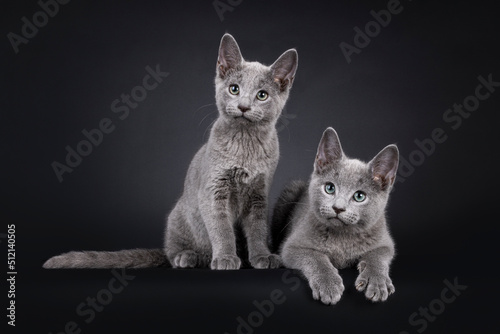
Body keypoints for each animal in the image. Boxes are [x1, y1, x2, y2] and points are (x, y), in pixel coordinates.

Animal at [44, 32, 296, 270]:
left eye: (262, 95)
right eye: (234, 89)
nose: (243, 106)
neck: (245, 146)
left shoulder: (259, 195)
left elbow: (257, 230)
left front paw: (263, 256)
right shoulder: (213, 191)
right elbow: (222, 229)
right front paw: (225, 257)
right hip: (178, 215)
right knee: (174, 251)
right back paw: (191, 257)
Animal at [272, 126, 400, 304]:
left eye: (359, 196)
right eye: (330, 188)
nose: (338, 208)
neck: (342, 237)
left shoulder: (384, 242)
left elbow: (377, 256)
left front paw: (376, 281)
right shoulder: (291, 247)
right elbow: (316, 257)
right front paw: (328, 284)